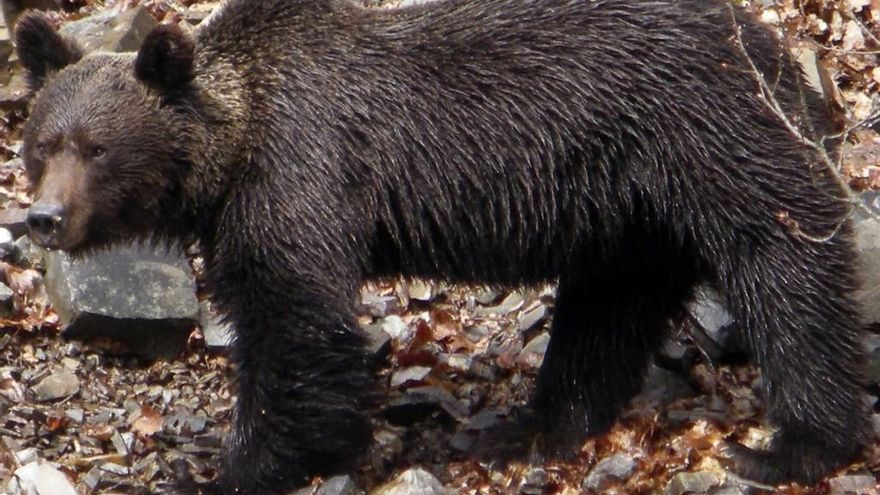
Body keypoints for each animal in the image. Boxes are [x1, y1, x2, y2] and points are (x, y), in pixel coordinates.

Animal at [13, 0, 872, 494]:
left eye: (96, 148)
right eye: (41, 143)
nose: (44, 219)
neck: (231, 149)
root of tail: (773, 43)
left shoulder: (301, 173)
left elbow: (295, 322)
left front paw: (235, 465)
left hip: (706, 136)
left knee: (785, 265)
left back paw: (797, 444)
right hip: (627, 207)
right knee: (608, 307)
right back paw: (536, 422)